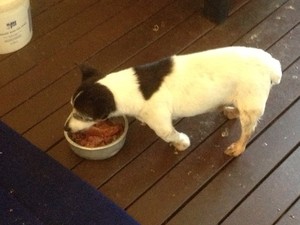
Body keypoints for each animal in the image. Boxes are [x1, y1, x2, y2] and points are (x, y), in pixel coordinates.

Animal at [63, 46, 282, 156]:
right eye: (72, 108)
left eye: (83, 115)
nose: (65, 128)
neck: (128, 87)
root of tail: (272, 65)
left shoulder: (162, 126)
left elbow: (173, 136)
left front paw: (181, 145)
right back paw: (229, 110)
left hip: (250, 105)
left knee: (247, 132)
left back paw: (237, 148)